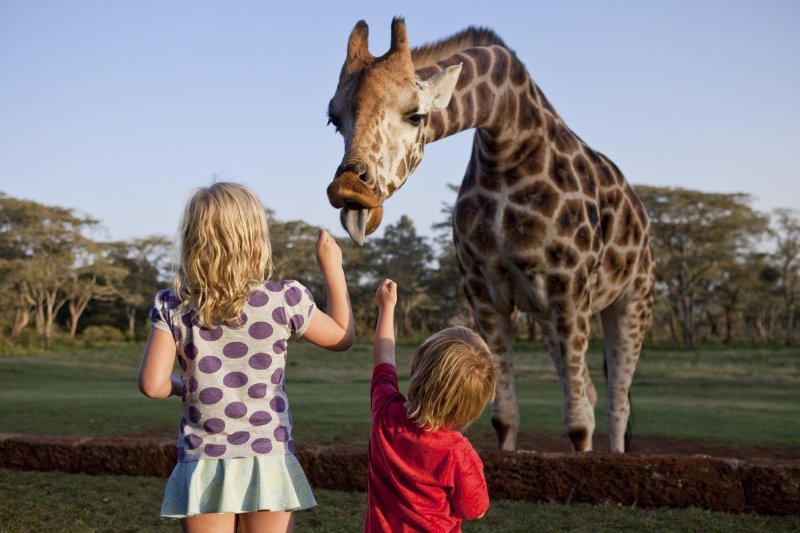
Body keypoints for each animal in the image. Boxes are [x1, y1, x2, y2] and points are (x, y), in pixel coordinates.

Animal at [326, 19, 656, 454]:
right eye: (334, 120)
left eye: (416, 115)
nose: (349, 191)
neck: (508, 143)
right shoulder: (483, 292)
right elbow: (504, 416)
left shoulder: (568, 291)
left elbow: (578, 423)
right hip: (548, 319)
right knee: (592, 389)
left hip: (632, 300)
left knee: (616, 403)